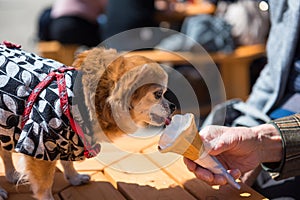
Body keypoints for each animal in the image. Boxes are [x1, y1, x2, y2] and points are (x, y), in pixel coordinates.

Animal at [0, 43, 176, 199]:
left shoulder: (67, 140)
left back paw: (12, 175)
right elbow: (44, 185)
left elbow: (67, 162)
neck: (76, 101)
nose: (173, 106)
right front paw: (48, 198)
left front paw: (74, 178)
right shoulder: (39, 143)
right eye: (158, 94)